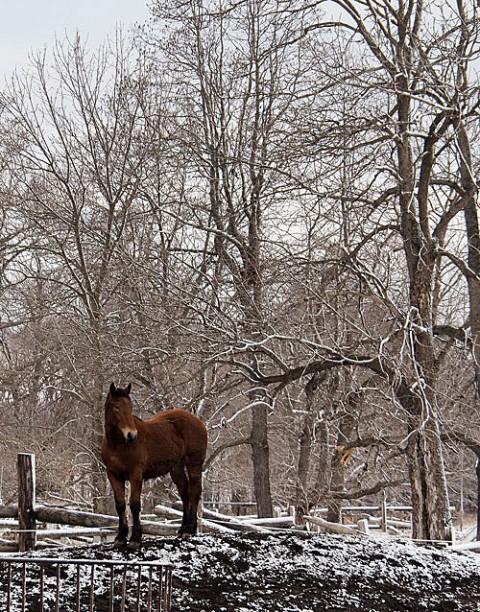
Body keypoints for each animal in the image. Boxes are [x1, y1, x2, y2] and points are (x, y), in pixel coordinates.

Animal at [100, 382, 207, 548]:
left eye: (130, 407)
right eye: (116, 407)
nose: (132, 434)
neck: (118, 445)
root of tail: (198, 421)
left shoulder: (135, 475)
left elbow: (134, 505)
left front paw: (135, 538)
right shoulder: (113, 475)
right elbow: (120, 505)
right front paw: (120, 537)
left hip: (194, 464)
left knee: (194, 491)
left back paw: (190, 529)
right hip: (176, 468)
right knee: (185, 493)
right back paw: (182, 529)